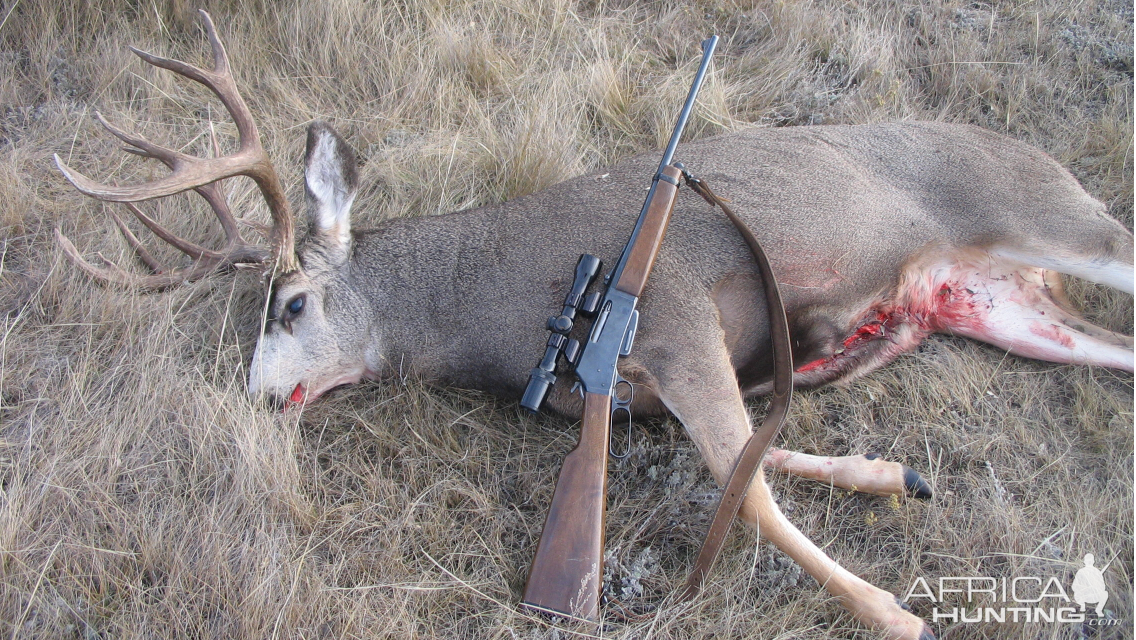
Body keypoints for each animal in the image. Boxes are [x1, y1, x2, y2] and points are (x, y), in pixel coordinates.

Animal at [57, 12, 1131, 640]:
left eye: (290, 305)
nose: (257, 394)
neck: (490, 304)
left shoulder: (680, 317)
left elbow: (746, 486)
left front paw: (895, 615)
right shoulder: (654, 385)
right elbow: (758, 456)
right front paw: (893, 478)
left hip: (1056, 215)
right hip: (1010, 308)